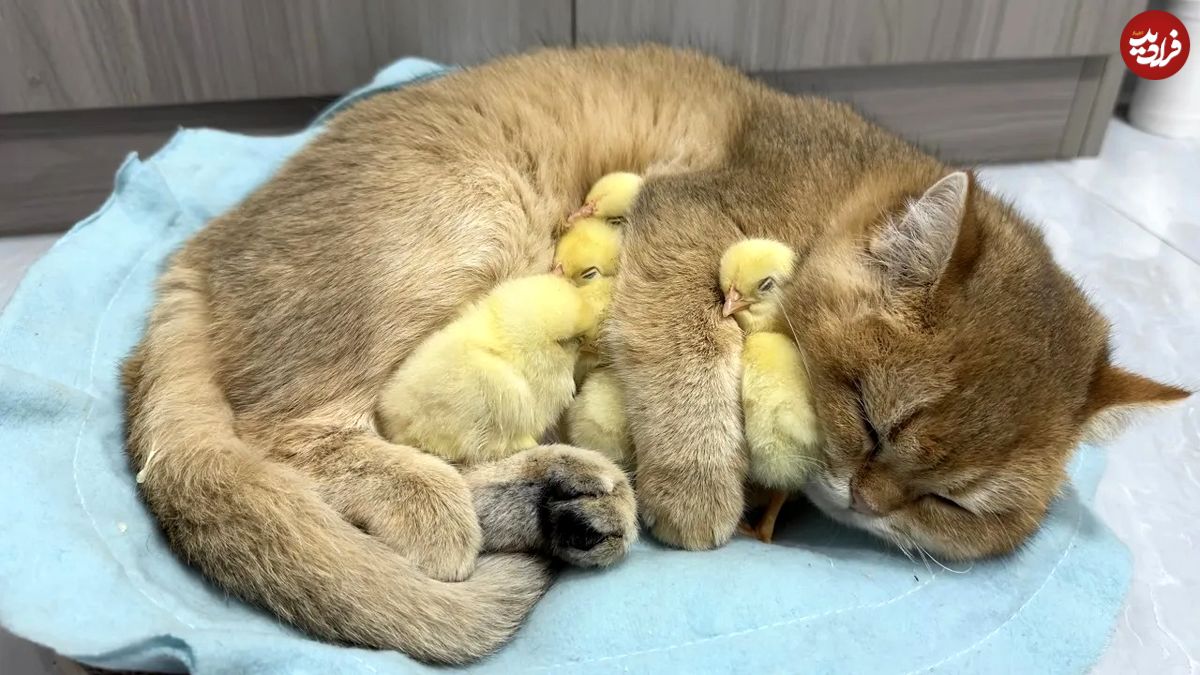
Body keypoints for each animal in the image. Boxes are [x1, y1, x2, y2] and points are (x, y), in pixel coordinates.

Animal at [117, 44, 1185, 658]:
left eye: (950, 505)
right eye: (870, 417)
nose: (865, 503)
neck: (841, 186)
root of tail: (192, 256)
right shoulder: (684, 224)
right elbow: (687, 354)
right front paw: (702, 490)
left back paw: (559, 504)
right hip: (467, 216)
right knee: (294, 434)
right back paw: (452, 506)